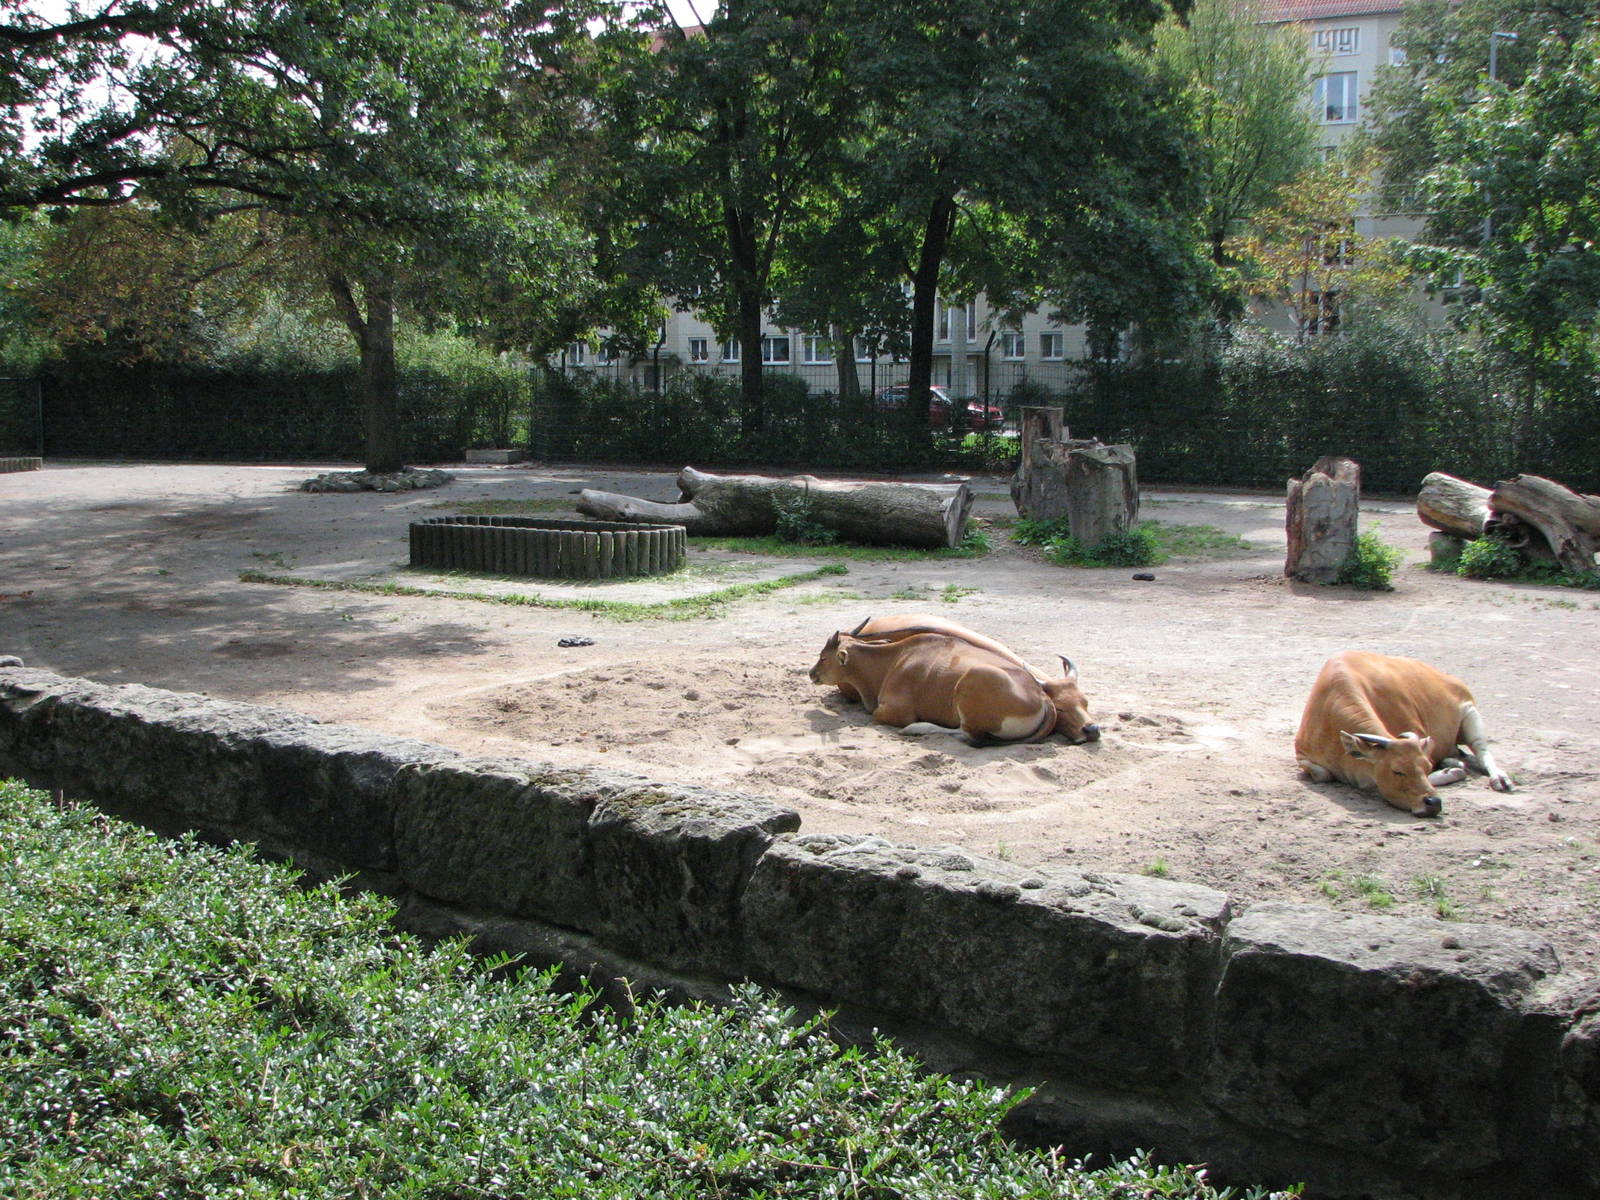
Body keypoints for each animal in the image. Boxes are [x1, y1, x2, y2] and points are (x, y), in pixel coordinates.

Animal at [1294, 650, 1513, 817]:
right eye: (1397, 771)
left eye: (1426, 767)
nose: (1433, 803)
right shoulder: (1303, 757)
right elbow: (1323, 774)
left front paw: (1448, 773)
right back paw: (1454, 762)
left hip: (1470, 712)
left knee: (1481, 749)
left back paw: (1498, 778)